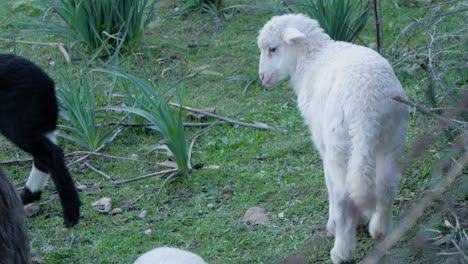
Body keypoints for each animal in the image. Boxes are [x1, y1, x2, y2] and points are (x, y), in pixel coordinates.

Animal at [0, 53, 81, 227]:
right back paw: (29, 195)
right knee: (43, 157)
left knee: (51, 154)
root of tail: (47, 83)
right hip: (36, 124)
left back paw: (71, 215)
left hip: (17, 122)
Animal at [258, 14, 408, 264]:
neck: (312, 59)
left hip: (339, 141)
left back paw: (341, 251)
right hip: (392, 133)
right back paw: (380, 229)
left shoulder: (323, 143)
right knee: (386, 182)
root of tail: (366, 105)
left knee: (342, 194)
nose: (262, 77)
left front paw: (334, 224)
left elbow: (329, 183)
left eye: (272, 49)